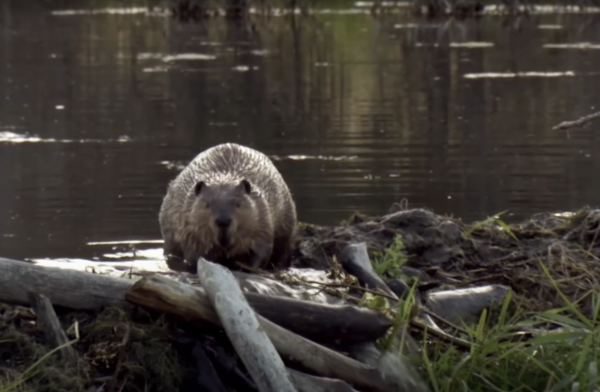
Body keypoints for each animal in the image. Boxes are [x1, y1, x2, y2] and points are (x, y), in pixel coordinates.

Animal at [157, 142, 298, 274]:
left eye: (238, 204)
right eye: (207, 204)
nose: (223, 221)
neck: (224, 179)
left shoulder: (262, 215)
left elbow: (262, 248)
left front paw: (248, 266)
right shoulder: (188, 221)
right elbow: (193, 252)